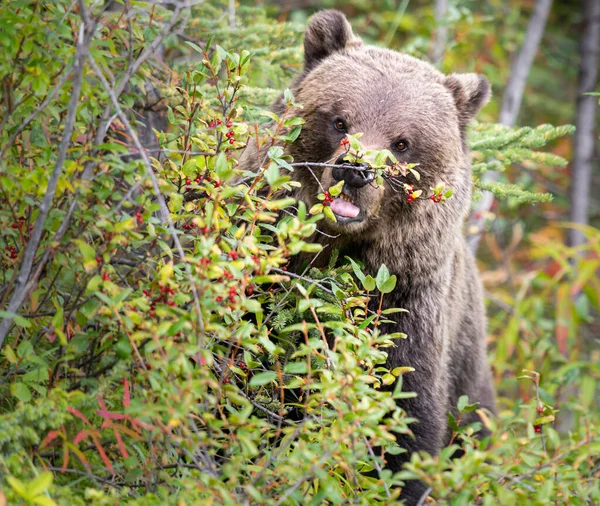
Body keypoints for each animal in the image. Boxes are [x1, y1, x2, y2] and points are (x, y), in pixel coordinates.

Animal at [239, 9, 496, 504]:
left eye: (403, 142)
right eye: (339, 120)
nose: (356, 169)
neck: (337, 247)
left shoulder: (407, 304)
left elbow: (403, 418)